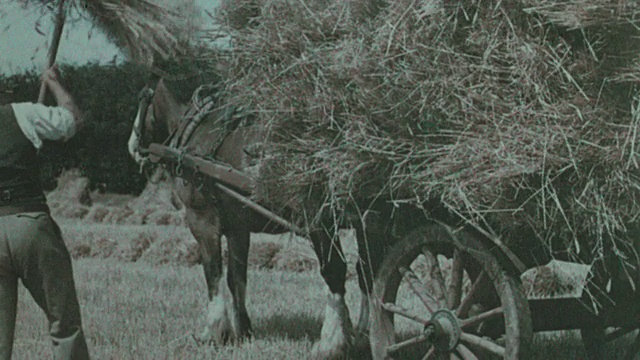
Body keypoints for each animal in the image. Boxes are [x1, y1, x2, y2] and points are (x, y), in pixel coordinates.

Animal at [124, 71, 390, 358]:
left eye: (142, 98)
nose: (131, 145)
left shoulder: (202, 220)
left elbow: (213, 272)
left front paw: (214, 331)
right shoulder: (238, 229)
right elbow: (236, 278)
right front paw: (243, 330)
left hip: (321, 221)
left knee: (336, 272)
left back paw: (331, 342)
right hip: (369, 222)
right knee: (369, 273)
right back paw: (363, 335)